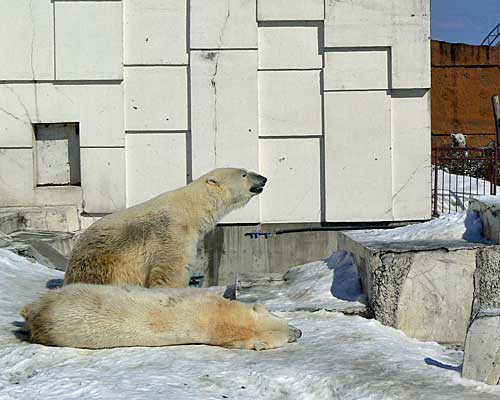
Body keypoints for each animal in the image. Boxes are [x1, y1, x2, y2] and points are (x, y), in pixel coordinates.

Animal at [64, 167, 268, 290]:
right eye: (244, 174)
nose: (264, 178)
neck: (191, 210)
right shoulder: (172, 234)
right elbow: (171, 270)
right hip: (104, 264)